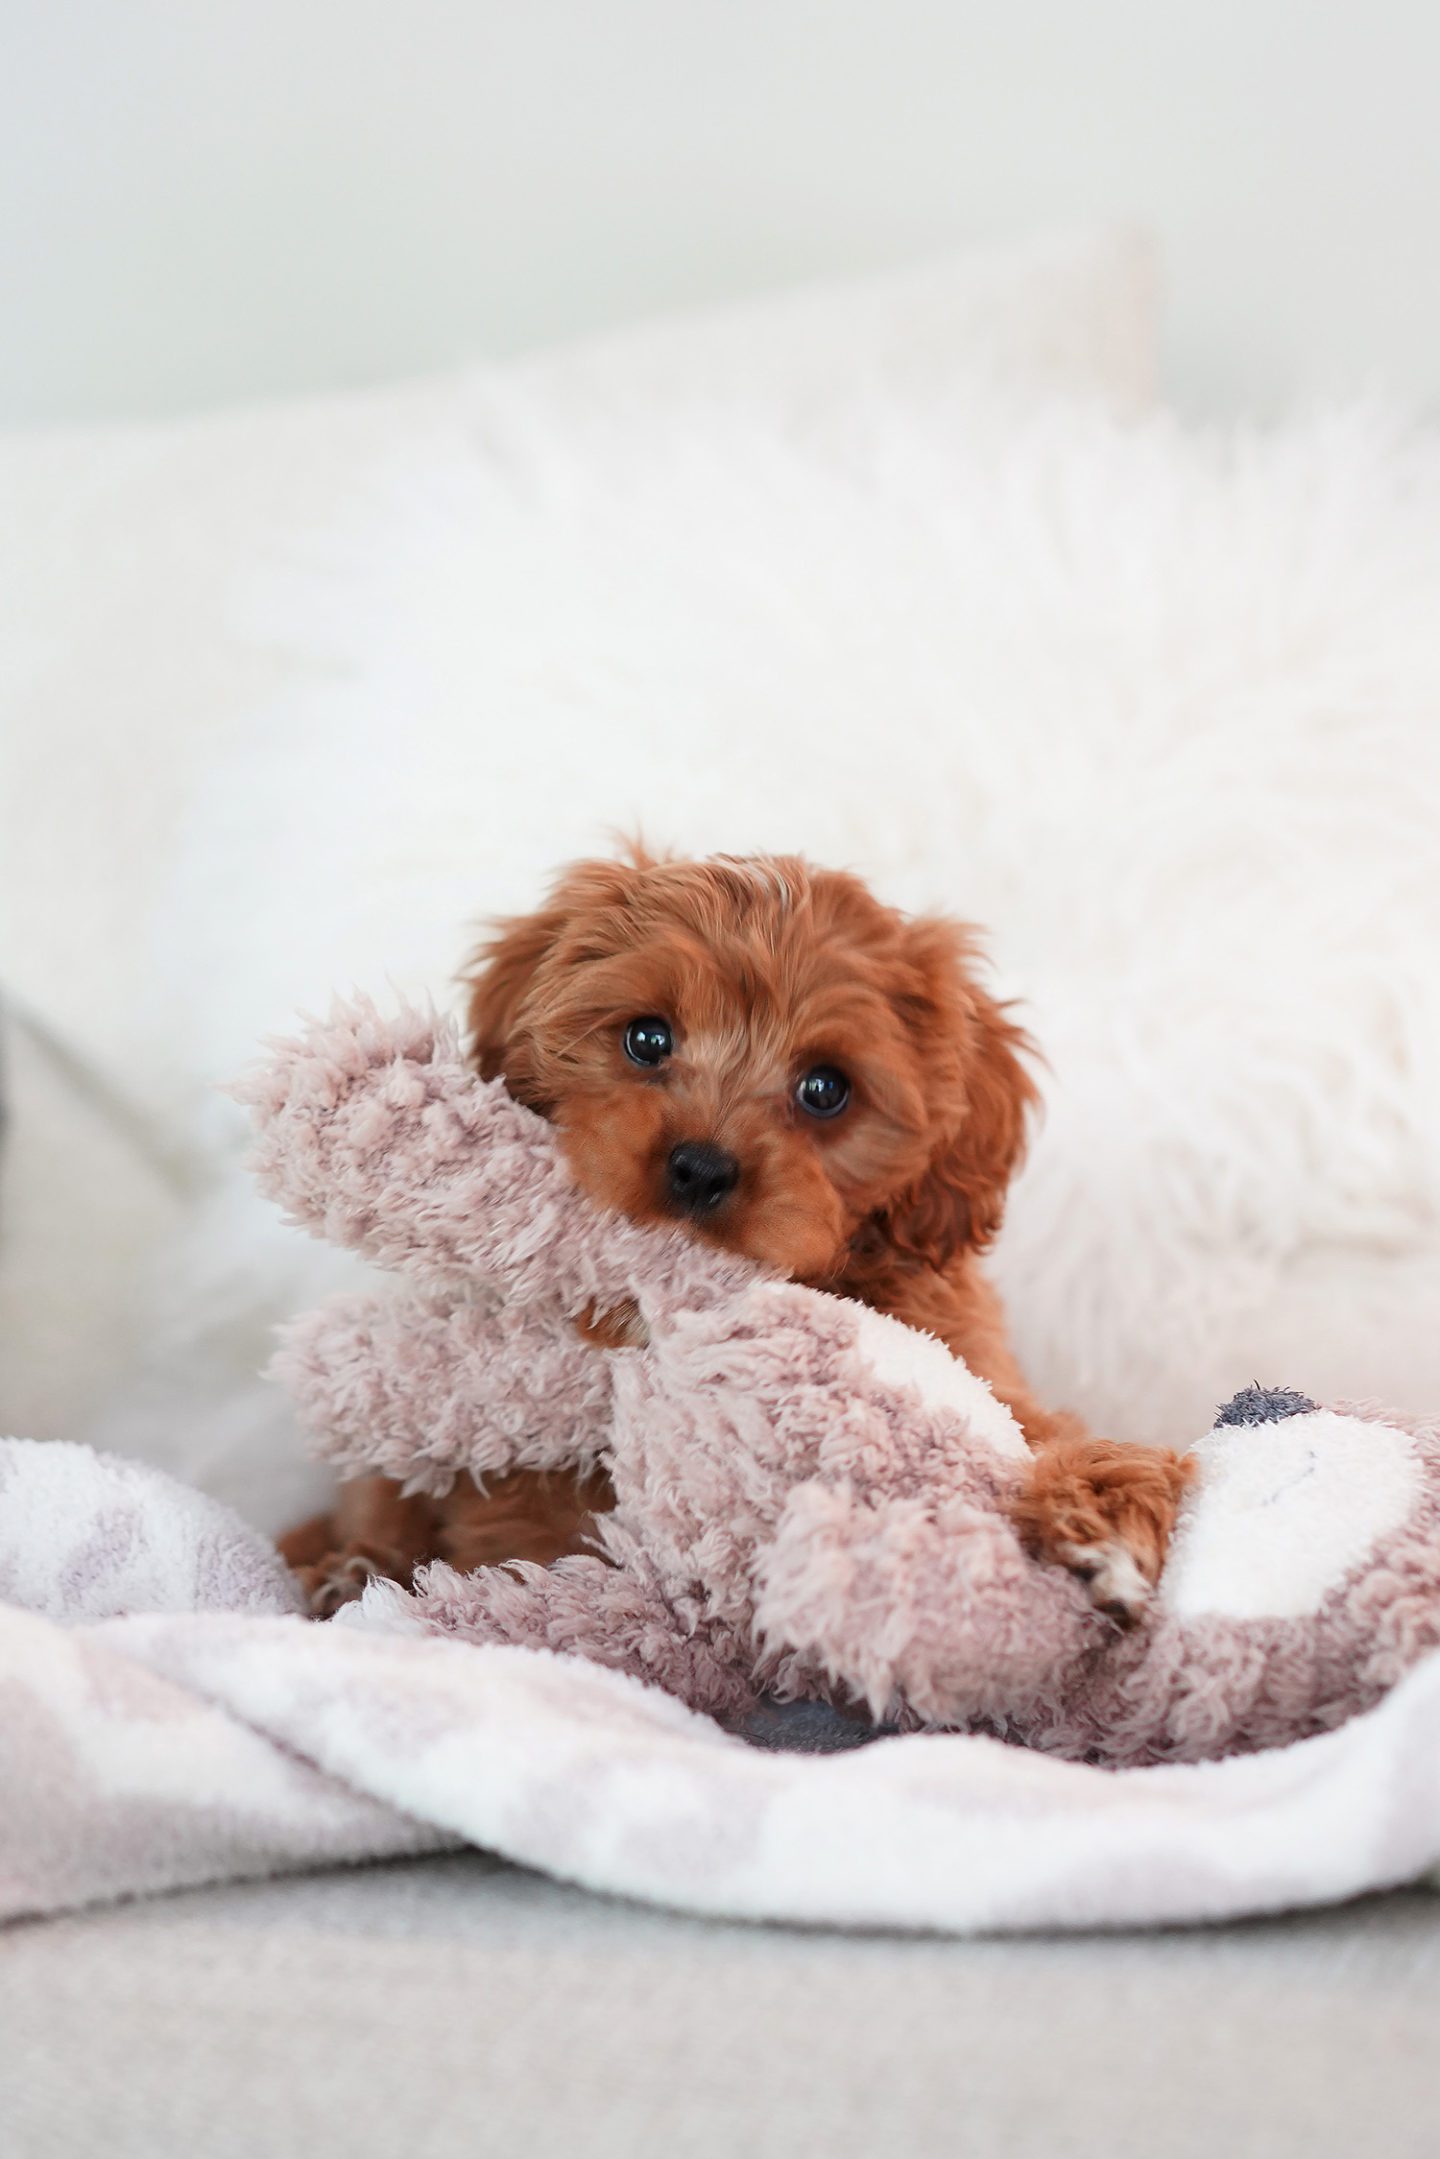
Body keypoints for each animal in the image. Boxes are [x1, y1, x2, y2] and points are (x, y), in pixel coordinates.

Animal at [284, 846, 1191, 1623]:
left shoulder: (971, 1365)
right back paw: (347, 1568)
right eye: (647, 1038)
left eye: (826, 1089)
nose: (699, 1167)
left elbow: (1056, 1436)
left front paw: (1107, 1522)